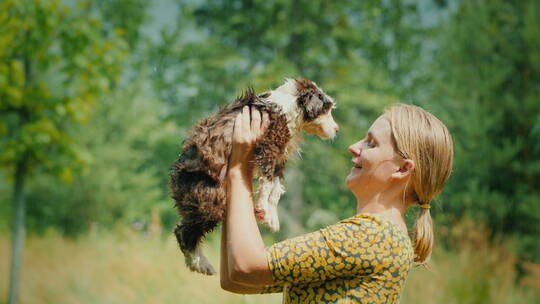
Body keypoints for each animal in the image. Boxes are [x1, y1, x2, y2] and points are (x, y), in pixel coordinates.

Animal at [169, 77, 338, 274]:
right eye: (326, 109)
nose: (337, 129)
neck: (289, 104)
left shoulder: (279, 158)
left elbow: (275, 189)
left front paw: (271, 217)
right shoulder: (269, 147)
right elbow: (268, 184)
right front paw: (263, 208)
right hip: (210, 198)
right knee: (183, 232)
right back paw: (200, 264)